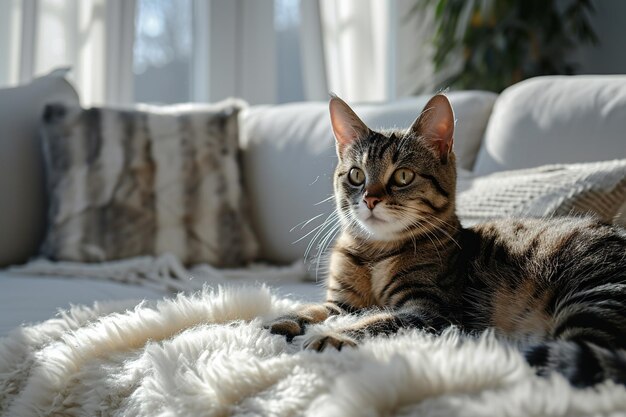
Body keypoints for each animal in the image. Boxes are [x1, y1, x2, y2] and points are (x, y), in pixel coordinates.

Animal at [268, 94, 624, 386]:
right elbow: (311, 310)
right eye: (356, 175)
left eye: (403, 176)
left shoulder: (430, 311)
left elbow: (377, 321)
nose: (369, 199)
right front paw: (278, 323)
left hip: (591, 296)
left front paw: (330, 337)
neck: (375, 251)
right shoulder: (341, 303)